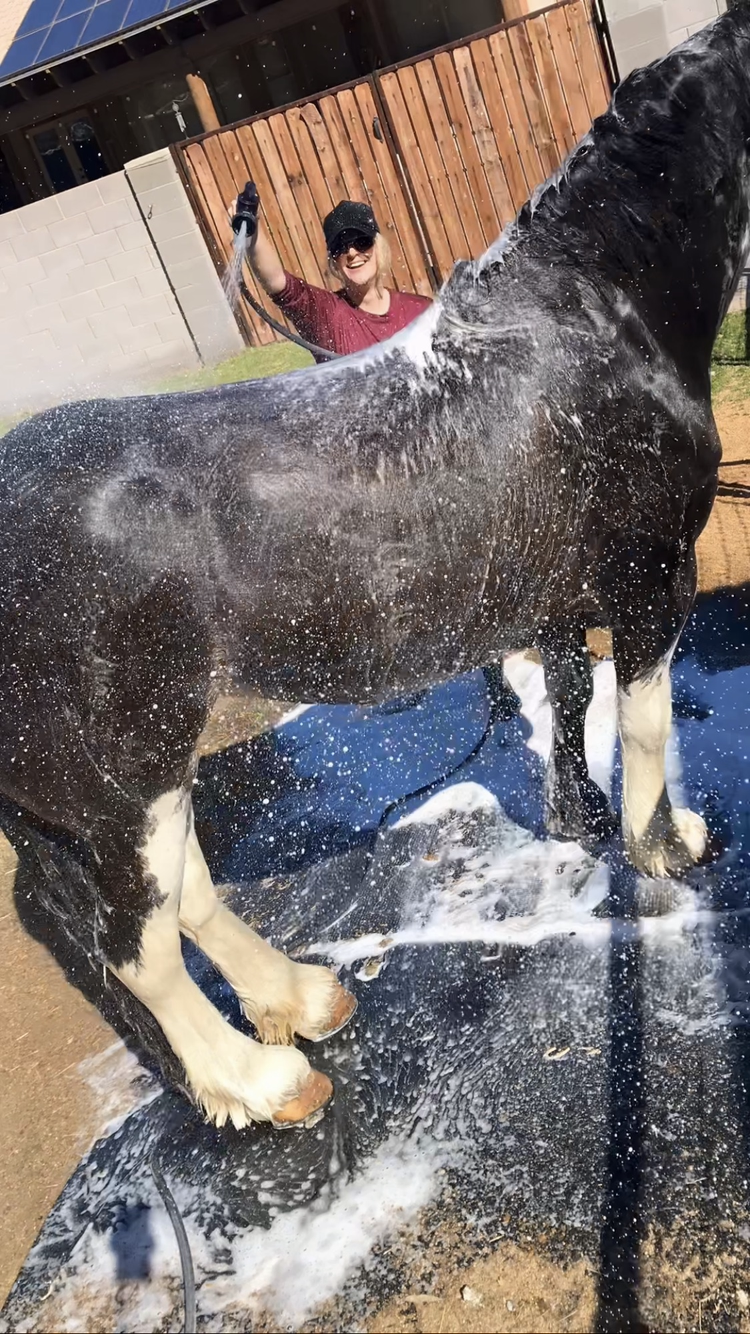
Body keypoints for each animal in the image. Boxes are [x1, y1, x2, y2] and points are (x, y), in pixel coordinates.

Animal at [0, 10, 736, 1131]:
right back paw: (259, 1081)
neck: (594, 306)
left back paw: (300, 998)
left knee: (183, 900)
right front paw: (664, 844)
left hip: (122, 787)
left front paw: (581, 820)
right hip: (119, 782)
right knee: (135, 948)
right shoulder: (651, 576)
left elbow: (572, 700)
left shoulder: (556, 601)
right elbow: (645, 718)